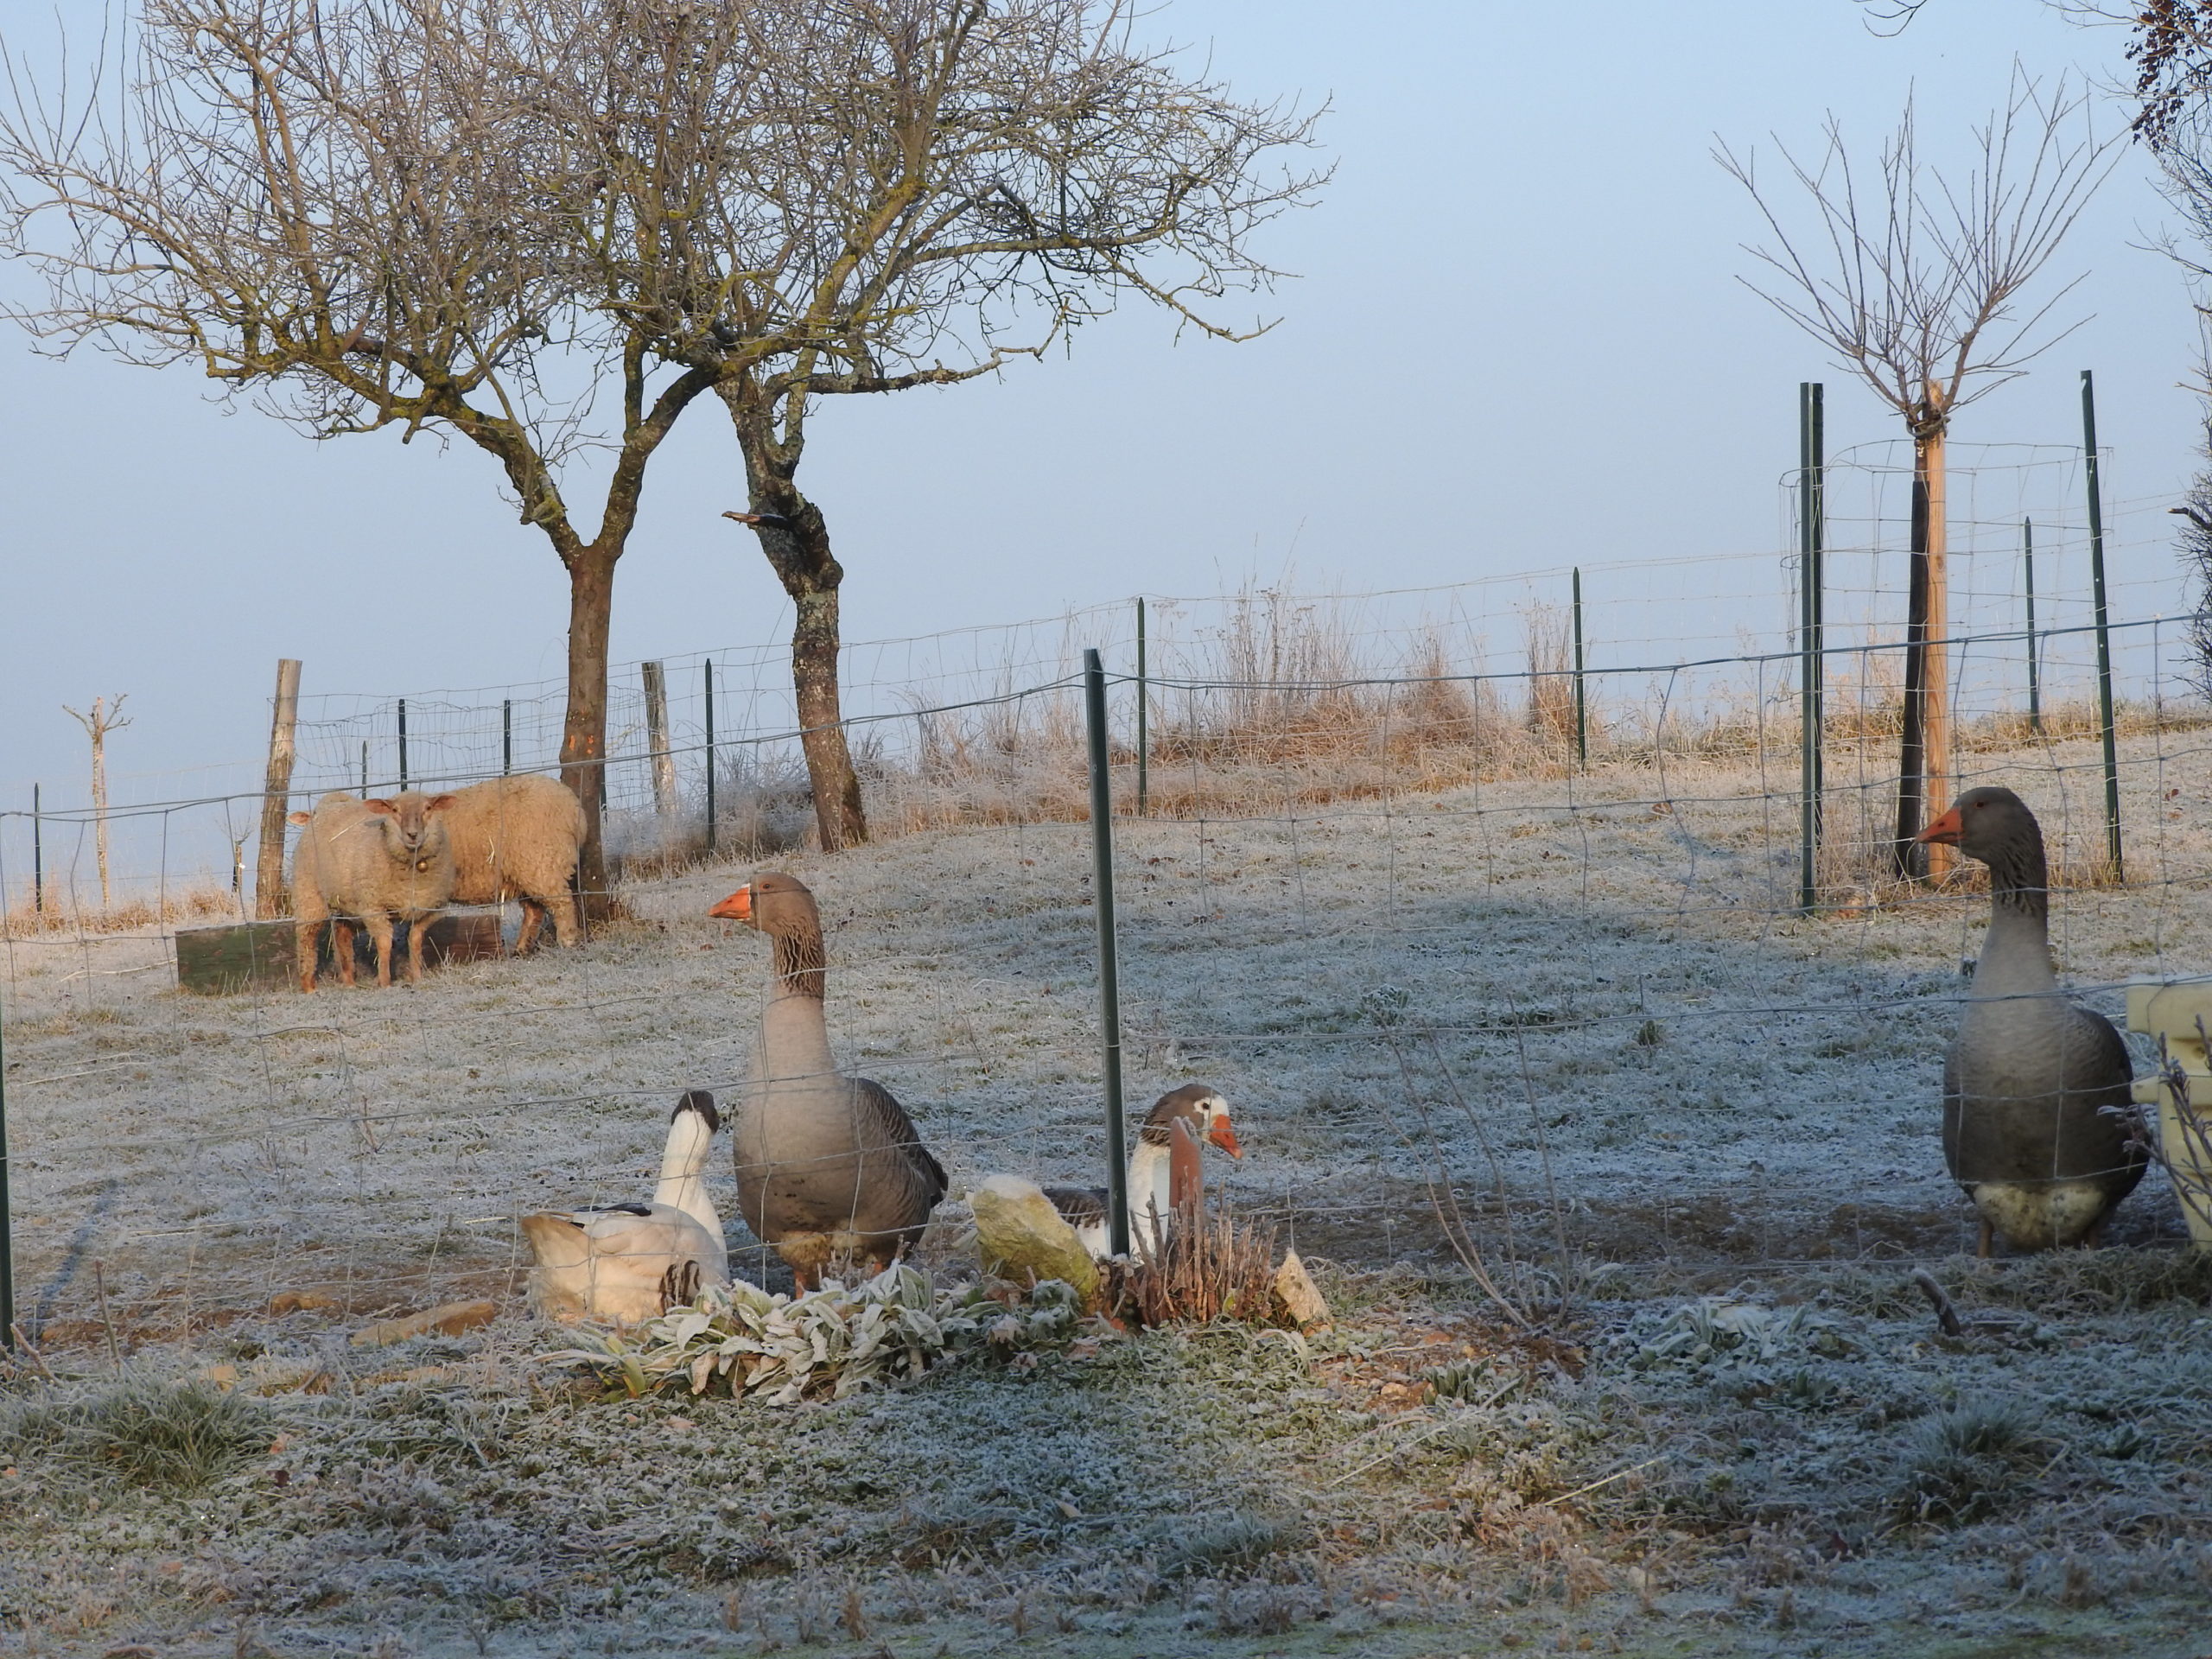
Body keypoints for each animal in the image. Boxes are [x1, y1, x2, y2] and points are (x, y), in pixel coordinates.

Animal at [289, 787, 457, 986]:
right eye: (395, 810)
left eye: (428, 808)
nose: (413, 835)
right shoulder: (373, 907)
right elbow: (384, 943)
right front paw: (385, 982)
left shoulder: (428, 909)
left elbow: (415, 941)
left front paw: (417, 978)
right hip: (309, 894)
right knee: (307, 939)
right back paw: (309, 986)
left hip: (345, 905)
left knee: (342, 939)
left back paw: (349, 983)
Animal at [431, 779, 583, 955]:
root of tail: (574, 807)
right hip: (528, 870)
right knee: (534, 911)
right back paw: (521, 949)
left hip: (544, 863)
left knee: (562, 903)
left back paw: (567, 942)